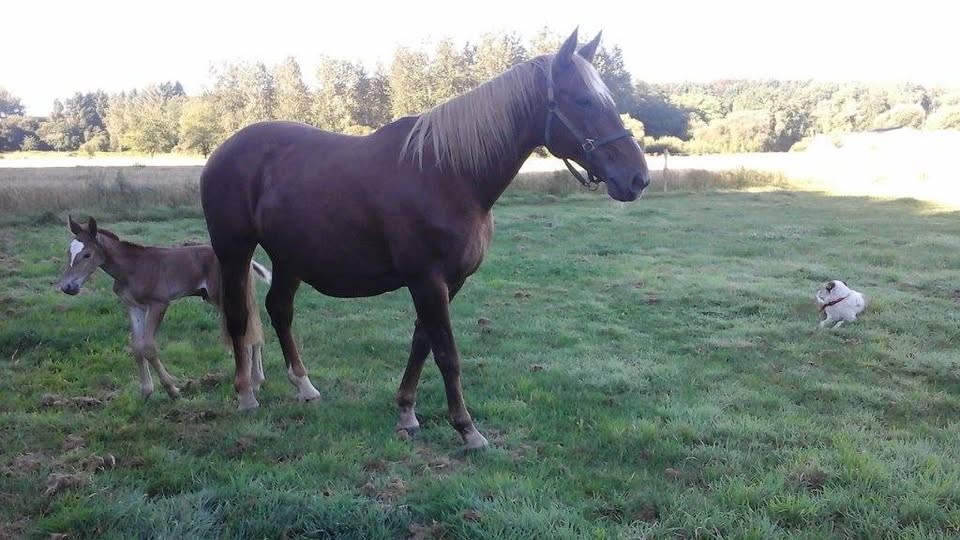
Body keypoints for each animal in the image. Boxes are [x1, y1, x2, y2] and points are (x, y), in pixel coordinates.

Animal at [58, 216, 272, 400]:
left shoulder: (158, 303)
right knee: (254, 327)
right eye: (69, 253)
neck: (132, 268)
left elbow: (148, 347)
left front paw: (172, 389)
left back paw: (253, 383)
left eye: (87, 254)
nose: (67, 287)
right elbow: (137, 347)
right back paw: (257, 381)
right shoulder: (134, 307)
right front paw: (146, 391)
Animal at [200, 29, 651, 449]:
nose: (637, 178)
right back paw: (245, 394)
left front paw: (406, 413)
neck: (448, 173)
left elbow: (422, 343)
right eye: (584, 101)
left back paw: (304, 386)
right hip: (234, 251)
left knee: (280, 310)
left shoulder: (449, 282)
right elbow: (446, 354)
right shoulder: (427, 280)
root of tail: (223, 150)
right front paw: (467, 429)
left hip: (290, 256)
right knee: (239, 315)